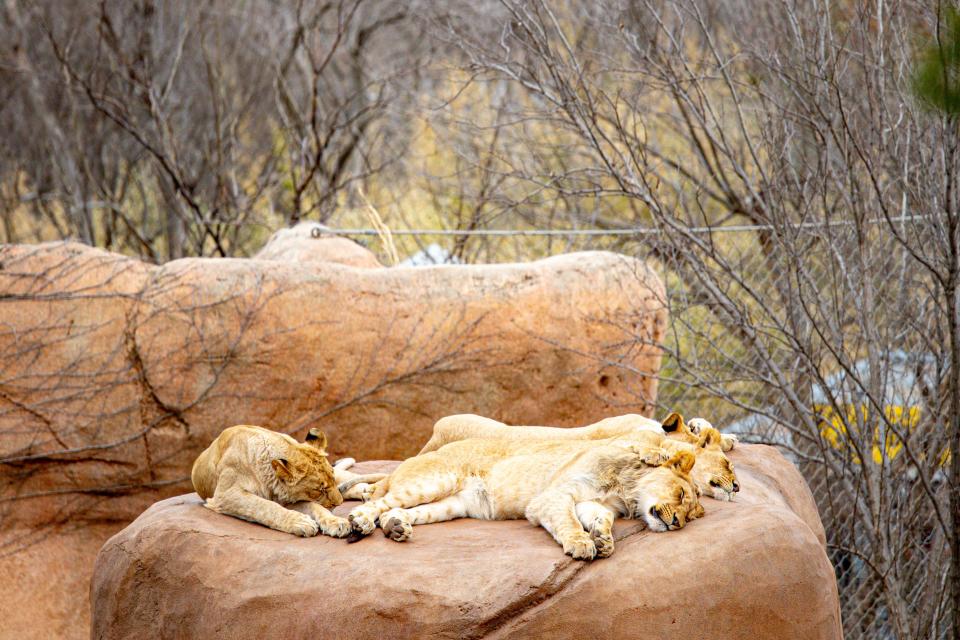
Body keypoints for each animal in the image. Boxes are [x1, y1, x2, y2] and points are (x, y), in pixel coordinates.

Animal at [346, 440, 704, 560]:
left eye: (688, 516)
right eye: (680, 495)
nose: (675, 523)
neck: (625, 490)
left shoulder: (594, 502)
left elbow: (599, 517)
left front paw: (603, 539)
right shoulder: (553, 496)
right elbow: (568, 522)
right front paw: (582, 544)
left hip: (452, 505)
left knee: (394, 511)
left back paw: (396, 526)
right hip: (436, 480)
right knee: (376, 503)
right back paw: (360, 522)